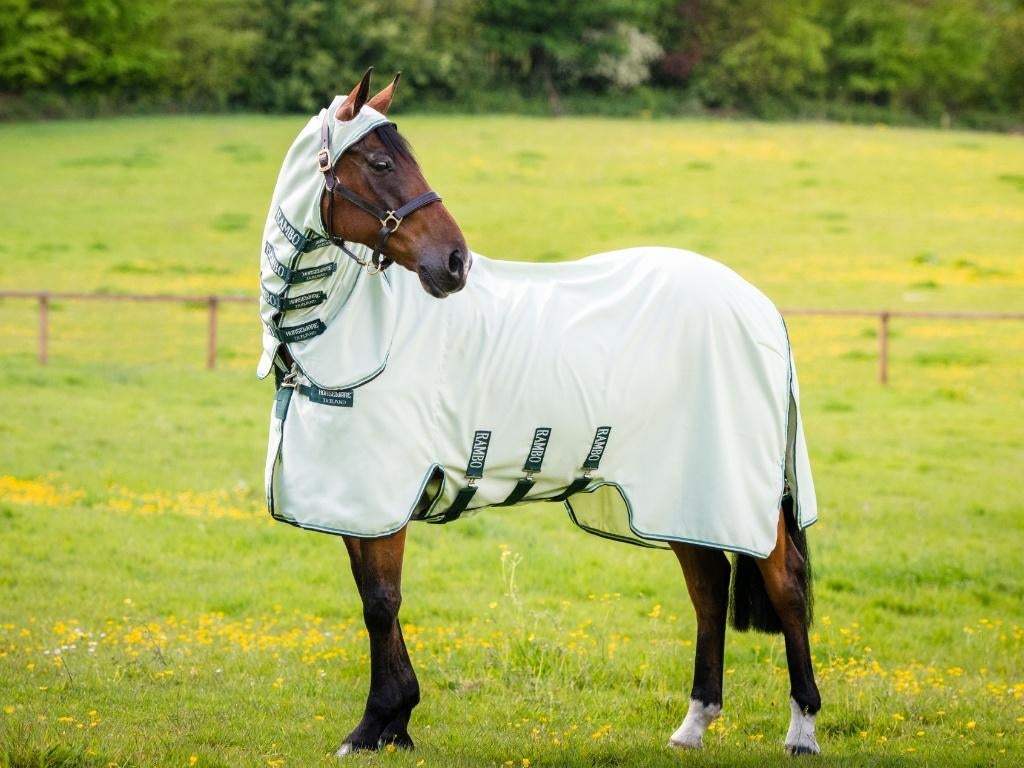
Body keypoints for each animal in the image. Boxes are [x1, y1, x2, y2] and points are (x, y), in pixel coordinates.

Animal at [258, 69, 821, 757]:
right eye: (383, 162)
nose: (455, 262)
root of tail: (760, 307)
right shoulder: (357, 504)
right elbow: (375, 600)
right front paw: (394, 724)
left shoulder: (378, 495)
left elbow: (381, 603)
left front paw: (377, 722)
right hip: (680, 494)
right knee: (709, 588)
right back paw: (693, 724)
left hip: (740, 495)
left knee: (785, 586)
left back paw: (802, 729)